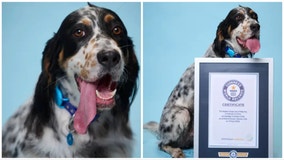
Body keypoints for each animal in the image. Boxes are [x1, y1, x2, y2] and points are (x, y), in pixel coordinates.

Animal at [144, 5, 260, 158]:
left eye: (255, 16)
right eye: (238, 17)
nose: (256, 26)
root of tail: (159, 130)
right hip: (182, 113)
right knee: (161, 144)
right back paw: (176, 151)